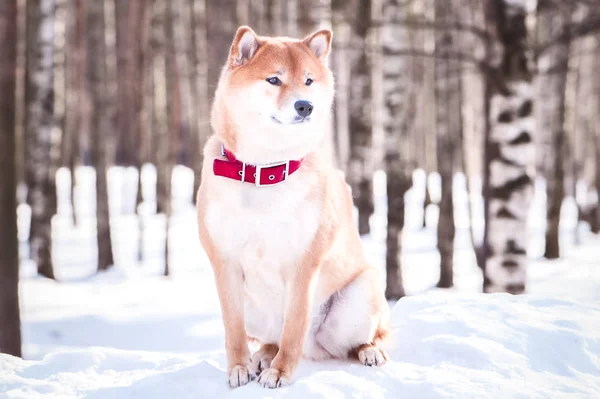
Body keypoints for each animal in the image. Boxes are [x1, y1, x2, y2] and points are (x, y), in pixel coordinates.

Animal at [197, 25, 392, 390]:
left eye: (309, 81)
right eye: (274, 80)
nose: (306, 106)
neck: (264, 171)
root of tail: (315, 349)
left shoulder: (304, 264)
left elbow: (293, 328)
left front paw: (280, 372)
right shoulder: (225, 264)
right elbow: (234, 330)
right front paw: (239, 367)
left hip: (362, 292)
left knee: (367, 338)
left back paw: (370, 351)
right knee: (269, 339)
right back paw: (261, 356)